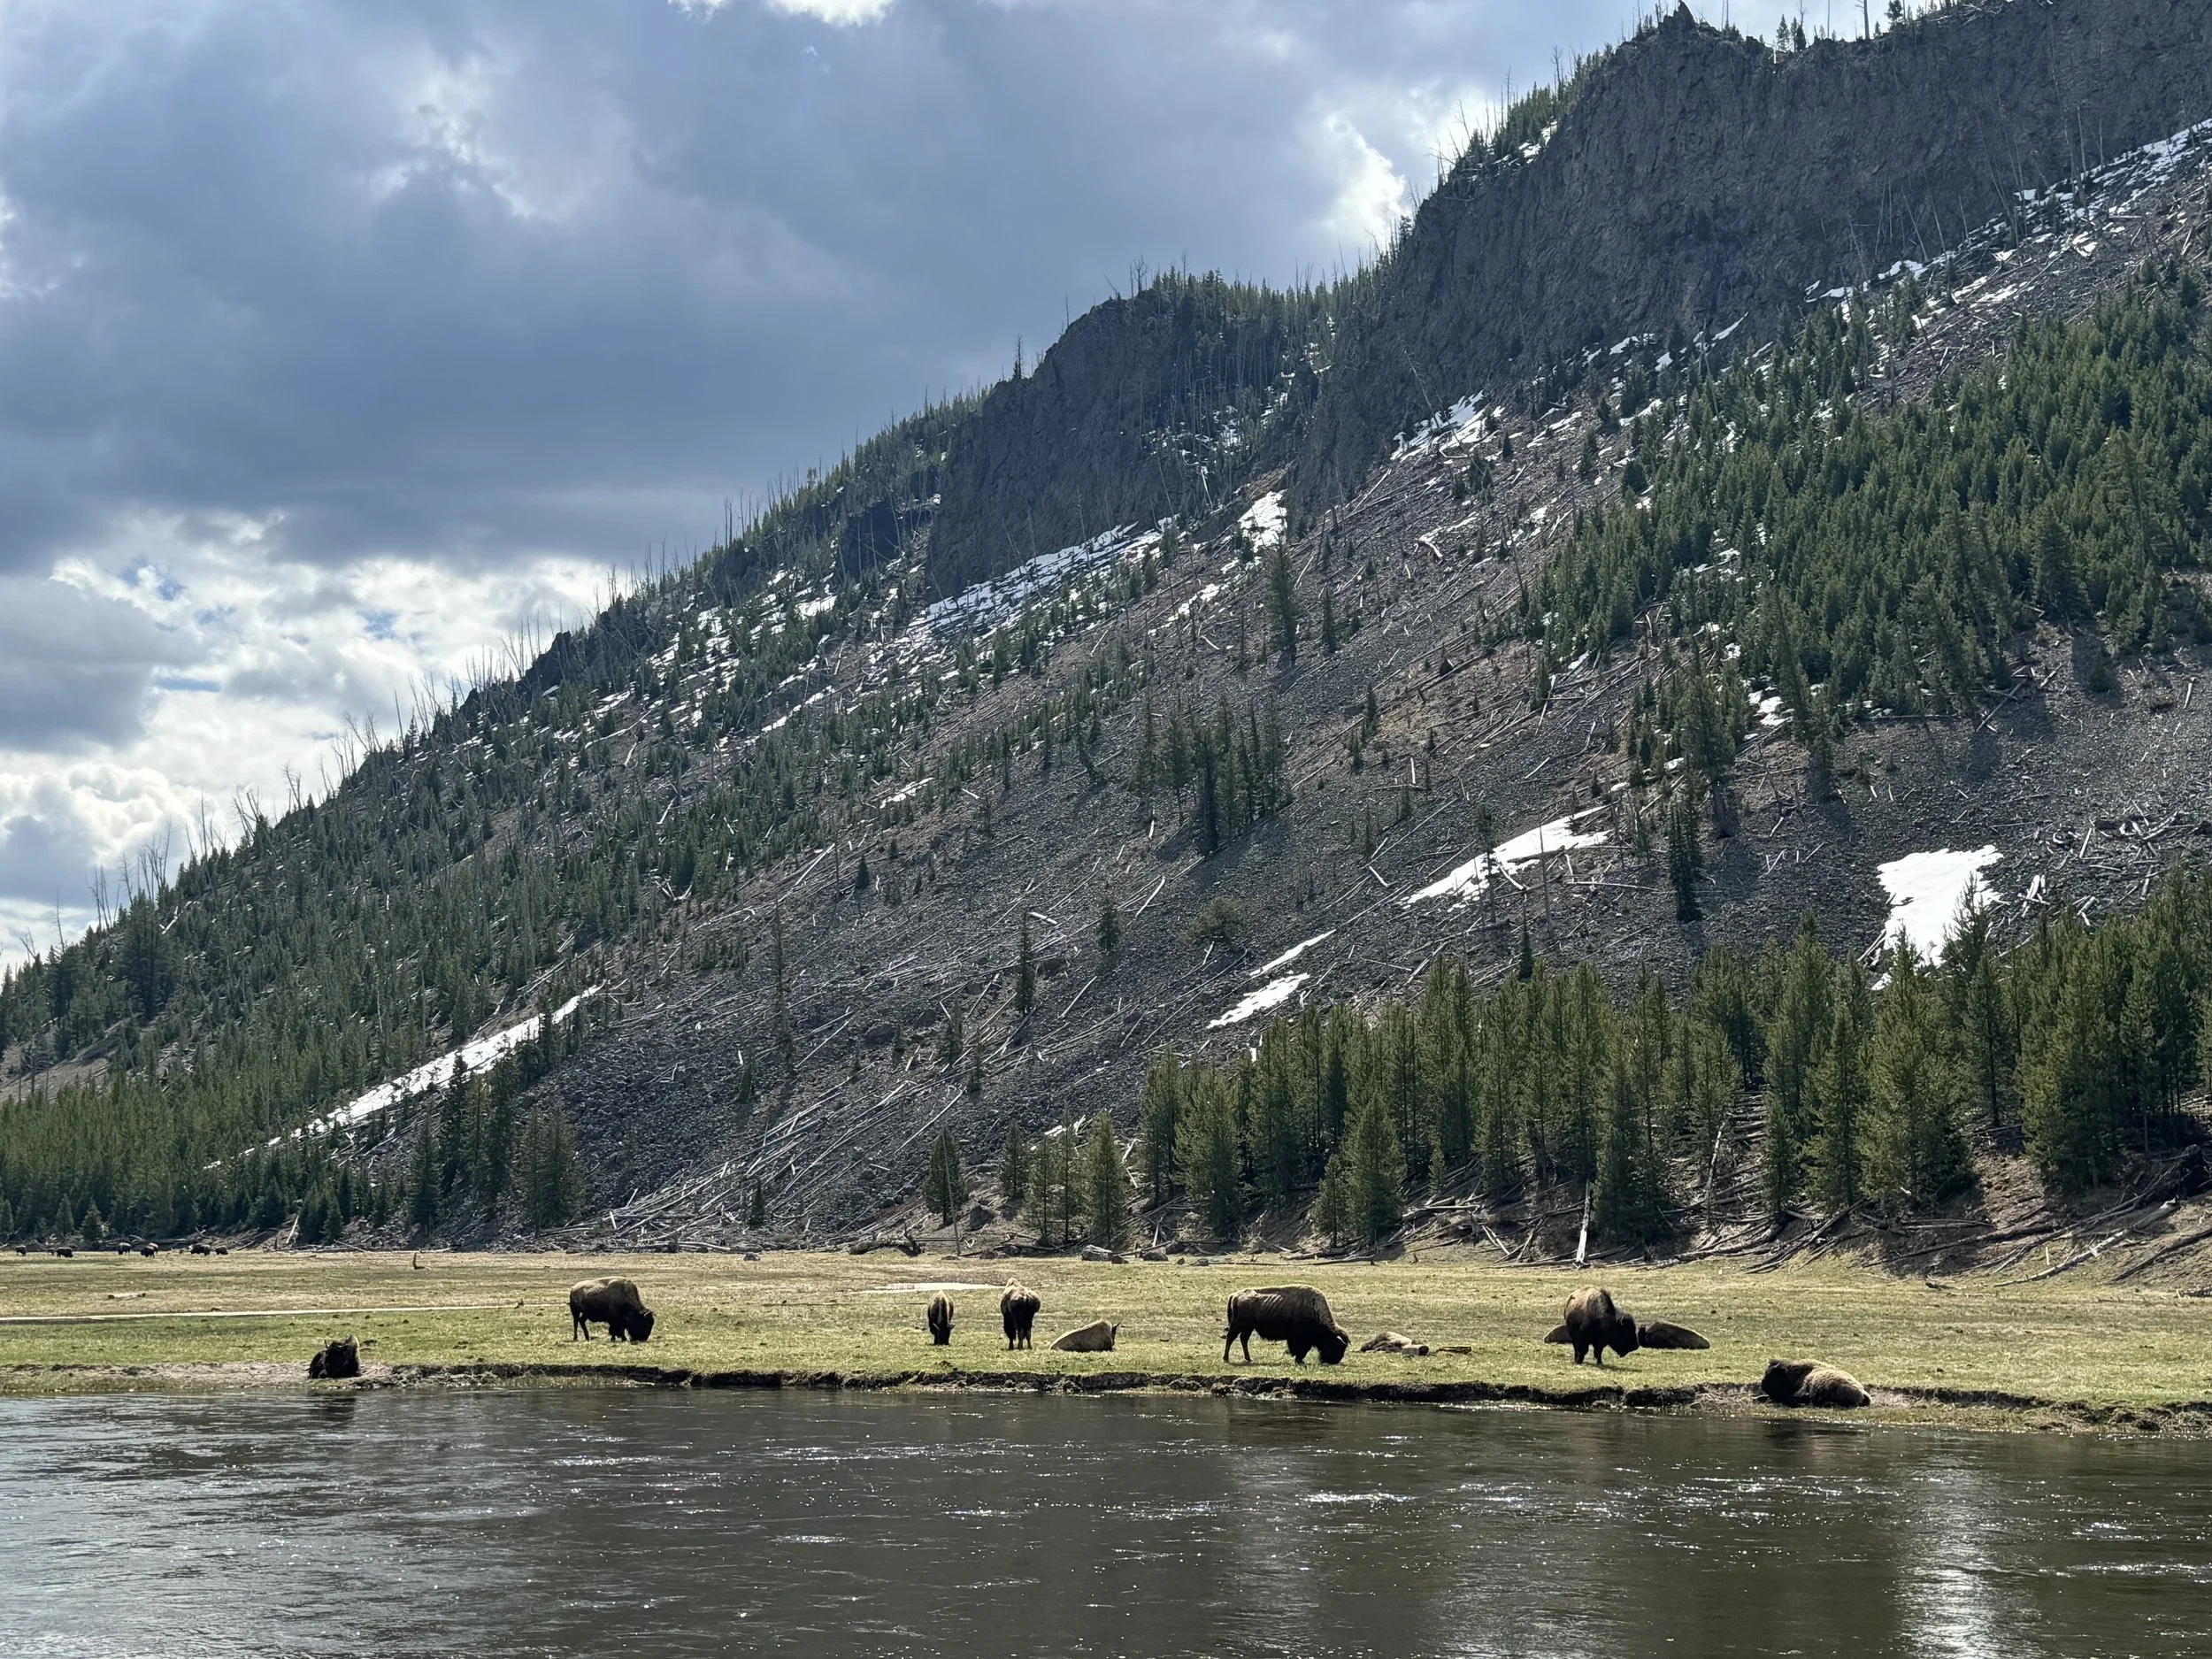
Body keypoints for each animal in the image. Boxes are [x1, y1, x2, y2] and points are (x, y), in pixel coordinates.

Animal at [1223, 1287, 1350, 1365]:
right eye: (1335, 1345)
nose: (1334, 1361)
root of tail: (1235, 1295)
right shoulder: (1299, 1339)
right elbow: (1301, 1350)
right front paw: (1299, 1361)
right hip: (1238, 1326)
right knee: (1230, 1338)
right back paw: (1226, 1359)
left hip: (1248, 1328)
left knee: (1243, 1339)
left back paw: (1249, 1359)